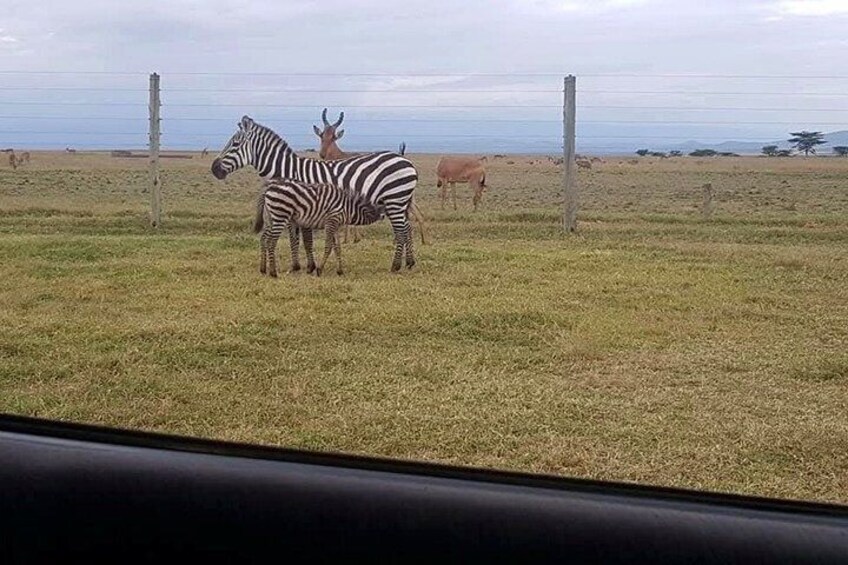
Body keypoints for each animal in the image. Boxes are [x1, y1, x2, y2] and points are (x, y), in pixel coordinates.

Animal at [254, 179, 385, 278]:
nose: (384, 217)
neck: (349, 208)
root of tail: (268, 189)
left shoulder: (336, 225)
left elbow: (338, 248)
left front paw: (340, 271)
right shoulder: (331, 222)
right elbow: (328, 247)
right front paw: (320, 269)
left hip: (271, 218)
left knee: (264, 239)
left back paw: (263, 269)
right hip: (280, 216)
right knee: (271, 242)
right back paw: (273, 272)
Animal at [313, 108, 427, 245]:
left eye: (333, 137)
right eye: (322, 135)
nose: (322, 154)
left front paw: (351, 239)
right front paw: (352, 238)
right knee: (417, 214)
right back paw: (422, 240)